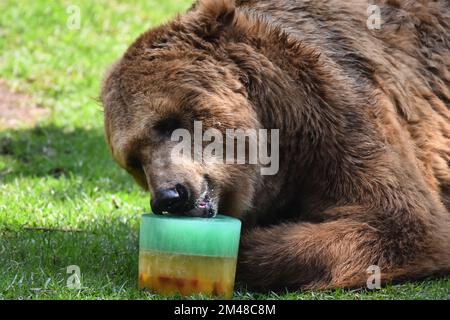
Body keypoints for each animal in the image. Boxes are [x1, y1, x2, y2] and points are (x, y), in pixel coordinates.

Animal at [102, 0, 450, 290]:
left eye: (168, 123)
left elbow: (403, 222)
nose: (169, 196)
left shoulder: (339, 116)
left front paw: (249, 246)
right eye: (134, 160)